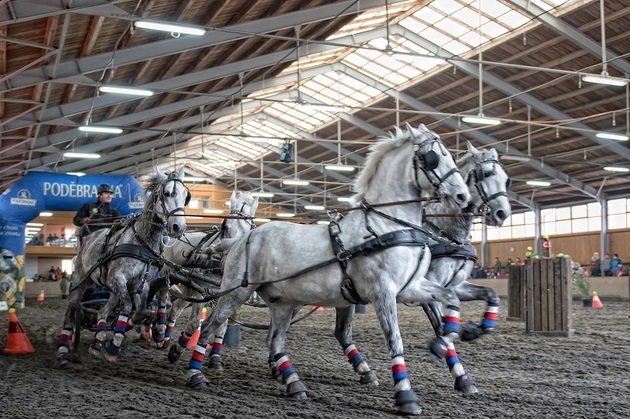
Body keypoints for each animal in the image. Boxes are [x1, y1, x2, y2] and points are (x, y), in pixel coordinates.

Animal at [56, 167, 190, 364]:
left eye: (186, 196)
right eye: (167, 193)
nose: (178, 227)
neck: (142, 242)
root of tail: (87, 240)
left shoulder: (140, 284)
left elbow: (141, 311)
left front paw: (116, 337)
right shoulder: (118, 277)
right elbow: (127, 306)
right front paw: (114, 346)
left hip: (112, 288)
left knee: (103, 312)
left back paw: (97, 342)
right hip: (82, 281)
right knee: (71, 310)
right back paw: (64, 347)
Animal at [185, 122, 472, 416]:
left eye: (451, 155)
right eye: (432, 157)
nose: (463, 196)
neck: (383, 226)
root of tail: (241, 239)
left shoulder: (411, 288)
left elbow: (450, 297)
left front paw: (445, 343)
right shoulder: (383, 292)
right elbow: (395, 340)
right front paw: (406, 396)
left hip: (283, 302)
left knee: (274, 341)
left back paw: (294, 383)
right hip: (235, 292)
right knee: (209, 328)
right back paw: (196, 375)